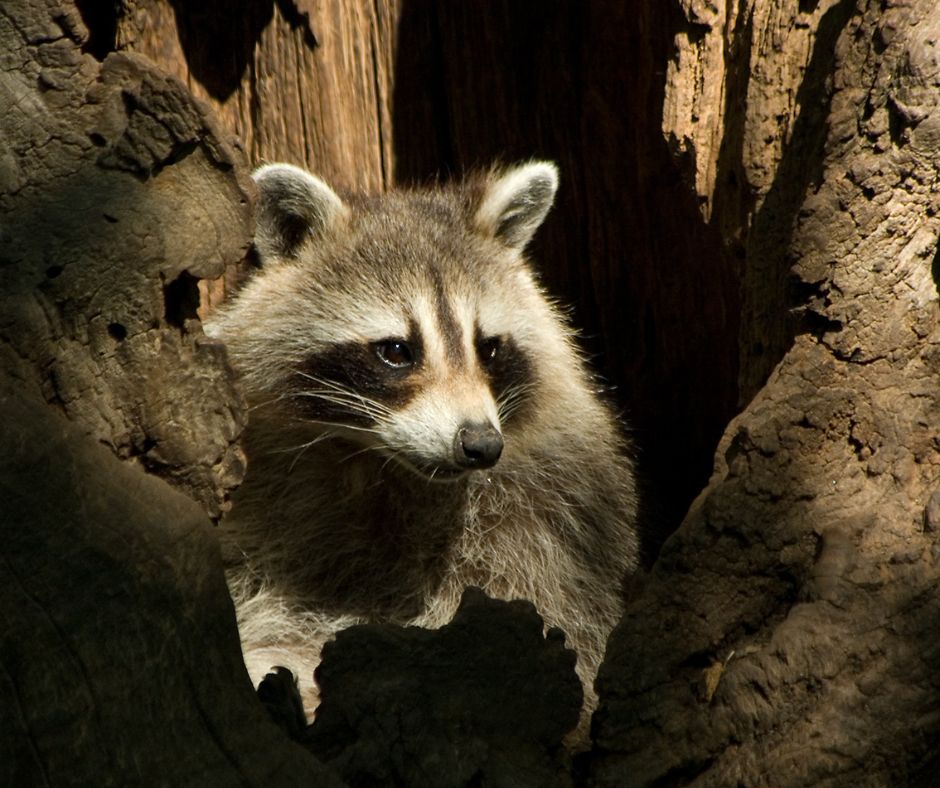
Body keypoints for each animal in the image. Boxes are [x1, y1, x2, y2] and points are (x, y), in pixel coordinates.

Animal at [205, 160, 640, 731]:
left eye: (489, 348)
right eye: (396, 351)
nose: (480, 445)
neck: (380, 463)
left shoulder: (552, 511)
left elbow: (553, 606)